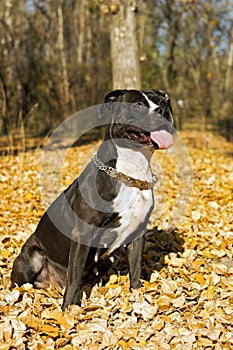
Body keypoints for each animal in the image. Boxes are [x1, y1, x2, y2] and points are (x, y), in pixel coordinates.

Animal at [11, 89, 174, 308]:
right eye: (138, 105)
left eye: (163, 101)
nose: (163, 110)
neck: (130, 172)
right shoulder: (82, 234)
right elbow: (74, 277)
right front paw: (68, 310)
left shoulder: (137, 232)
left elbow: (136, 268)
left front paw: (137, 296)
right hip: (31, 258)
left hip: (106, 260)